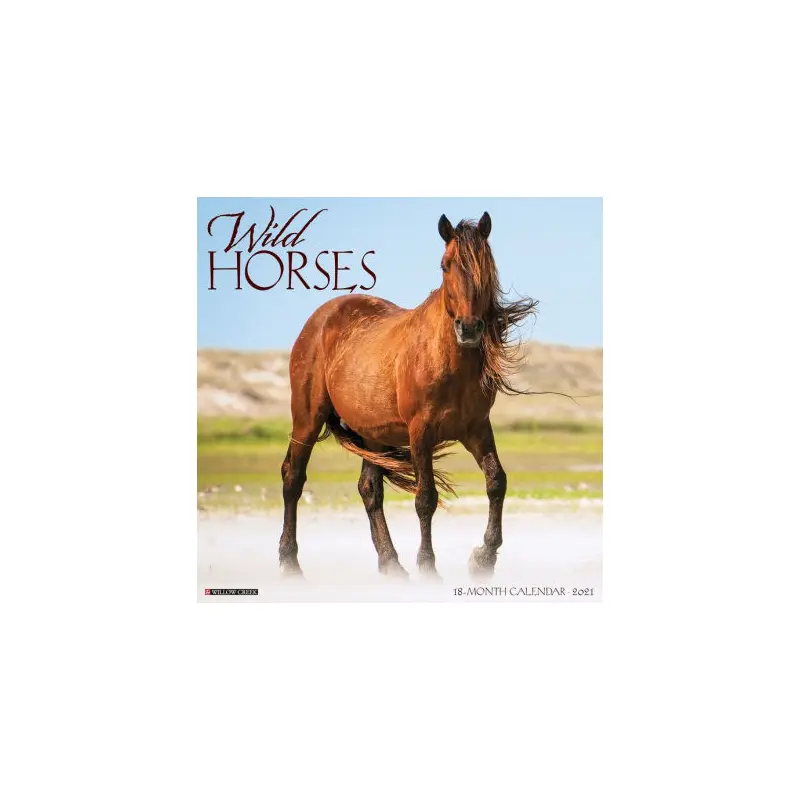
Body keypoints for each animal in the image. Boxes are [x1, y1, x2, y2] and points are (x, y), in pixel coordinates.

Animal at [278, 211, 537, 579]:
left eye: (486, 265)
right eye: (445, 265)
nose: (469, 328)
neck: (444, 358)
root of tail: (320, 318)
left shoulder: (476, 429)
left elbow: (496, 481)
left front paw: (484, 558)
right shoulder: (420, 433)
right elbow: (425, 498)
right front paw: (428, 566)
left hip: (372, 435)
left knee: (369, 490)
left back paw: (391, 563)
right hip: (307, 419)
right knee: (293, 478)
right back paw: (290, 562)